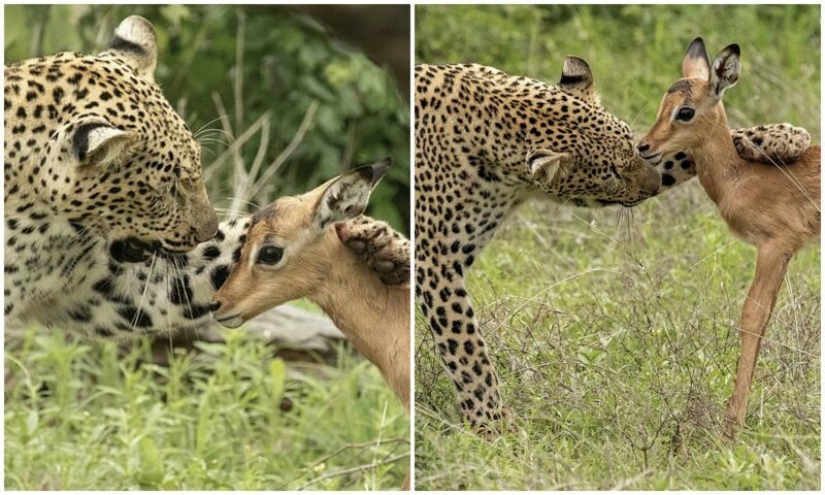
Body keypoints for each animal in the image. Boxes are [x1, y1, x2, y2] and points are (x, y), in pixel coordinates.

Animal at [414, 60, 812, 433]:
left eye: (630, 145)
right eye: (609, 174)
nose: (653, 185)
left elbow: (686, 150)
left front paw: (782, 137)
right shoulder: (435, 262)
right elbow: (466, 348)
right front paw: (494, 426)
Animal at [638, 38, 821, 439]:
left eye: (685, 111)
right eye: (662, 104)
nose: (644, 146)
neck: (741, 177)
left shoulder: (775, 246)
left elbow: (752, 317)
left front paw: (730, 427)